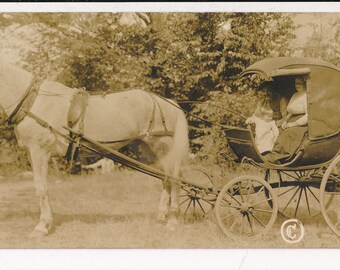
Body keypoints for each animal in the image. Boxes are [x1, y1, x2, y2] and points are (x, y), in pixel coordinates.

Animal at [0, 60, 189, 236]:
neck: (31, 101)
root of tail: (169, 102)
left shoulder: (39, 151)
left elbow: (41, 187)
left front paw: (42, 226)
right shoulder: (32, 153)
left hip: (164, 147)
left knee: (175, 179)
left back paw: (172, 220)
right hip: (151, 151)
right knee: (165, 178)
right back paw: (161, 216)